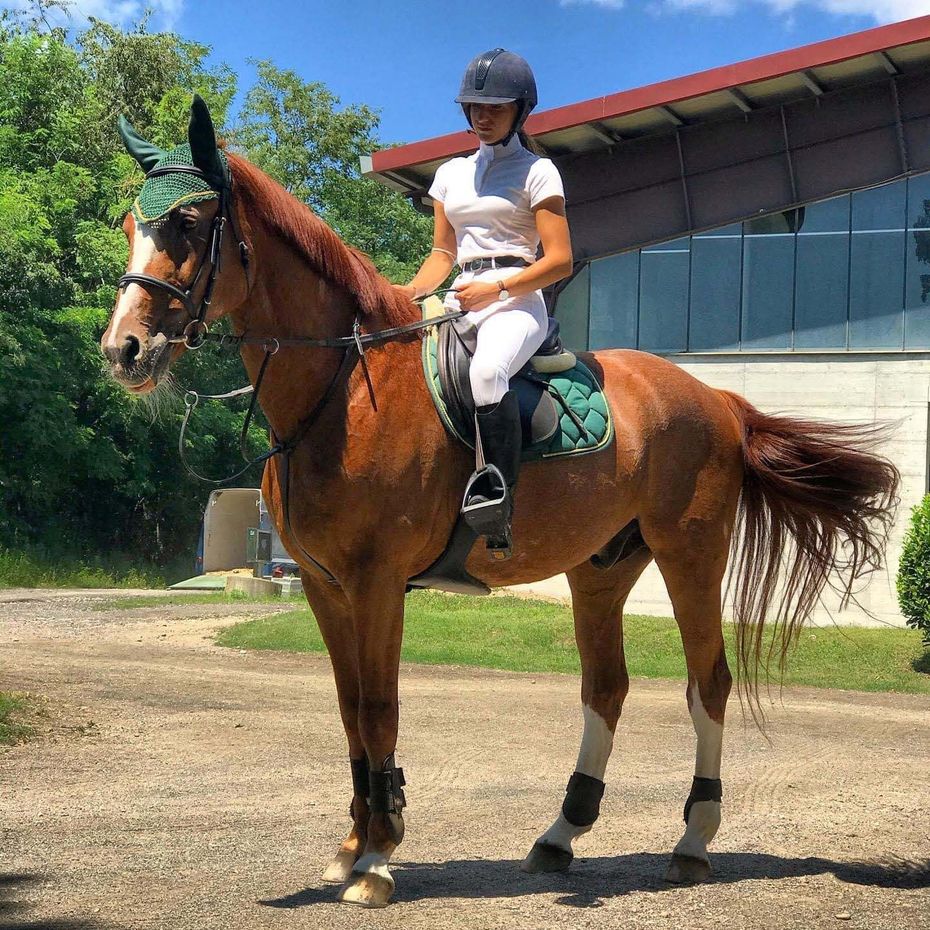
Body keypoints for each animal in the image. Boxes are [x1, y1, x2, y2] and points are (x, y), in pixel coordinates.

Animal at [101, 97, 899, 908]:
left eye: (190, 222)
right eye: (133, 224)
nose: (122, 350)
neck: (342, 392)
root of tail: (715, 399)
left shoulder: (376, 582)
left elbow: (379, 708)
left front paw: (378, 858)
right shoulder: (326, 588)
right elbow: (350, 711)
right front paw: (352, 847)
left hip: (691, 556)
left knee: (708, 684)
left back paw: (692, 843)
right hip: (601, 569)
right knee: (605, 688)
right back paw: (560, 835)